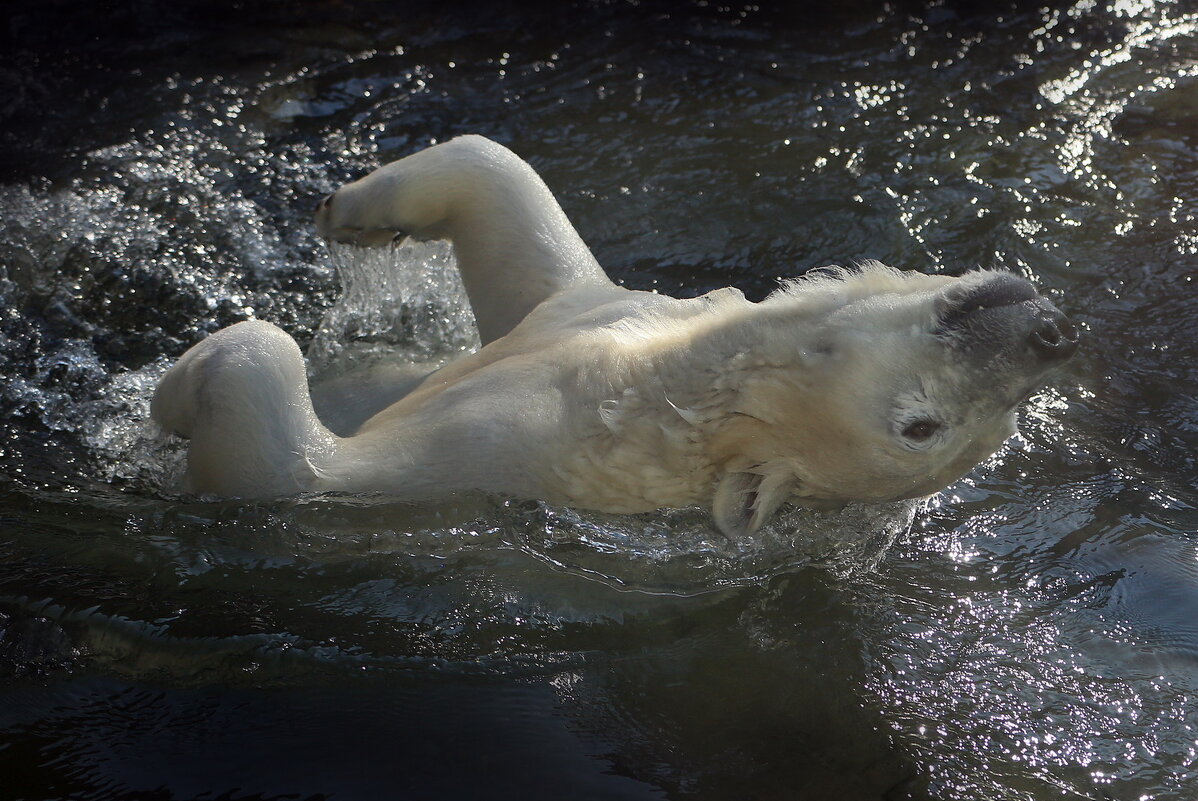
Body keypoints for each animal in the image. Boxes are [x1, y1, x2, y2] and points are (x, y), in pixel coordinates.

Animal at [149, 135, 1078, 536]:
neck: (636, 398)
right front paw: (355, 215)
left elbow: (285, 453)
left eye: (925, 428)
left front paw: (168, 402)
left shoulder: (481, 454)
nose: (1051, 331)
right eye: (1004, 422)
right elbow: (513, 210)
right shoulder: (594, 312)